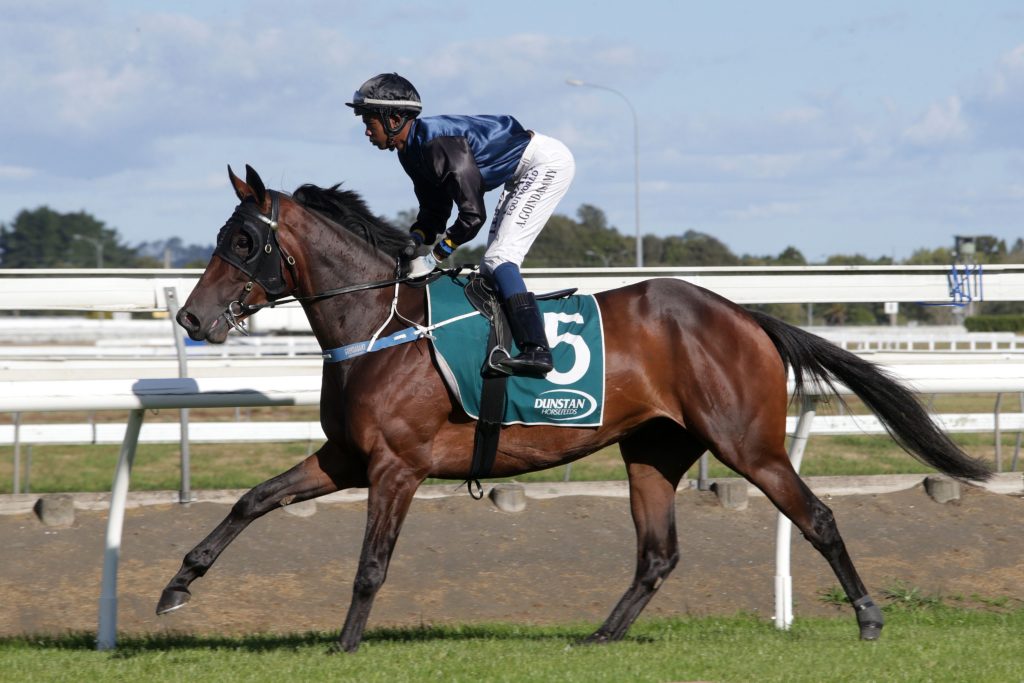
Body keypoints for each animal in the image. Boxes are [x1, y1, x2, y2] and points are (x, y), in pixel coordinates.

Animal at [159, 165, 991, 652]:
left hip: (747, 442)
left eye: (243, 239)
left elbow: (371, 563)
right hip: (653, 448)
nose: (192, 318)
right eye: (221, 235)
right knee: (657, 553)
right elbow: (253, 499)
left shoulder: (395, 466)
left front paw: (343, 646)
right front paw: (177, 585)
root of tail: (745, 314)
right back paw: (600, 635)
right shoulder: (346, 456)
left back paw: (869, 616)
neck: (382, 323)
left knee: (814, 516)